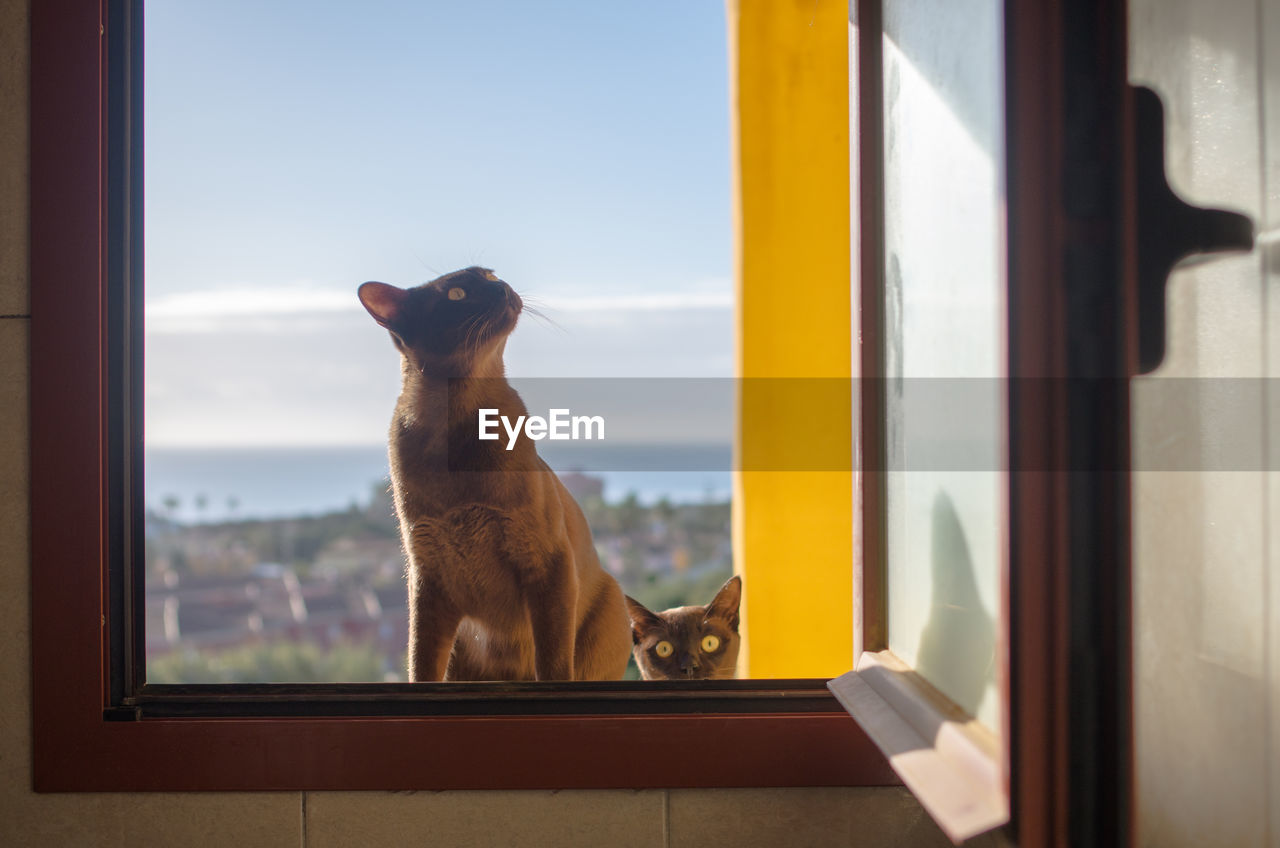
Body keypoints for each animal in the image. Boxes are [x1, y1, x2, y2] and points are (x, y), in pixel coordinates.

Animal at [358, 269, 632, 681]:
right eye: (456, 294)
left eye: (489, 275)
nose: (501, 287)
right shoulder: (428, 579)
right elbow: (421, 665)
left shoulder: (546, 563)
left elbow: (552, 665)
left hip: (605, 602)